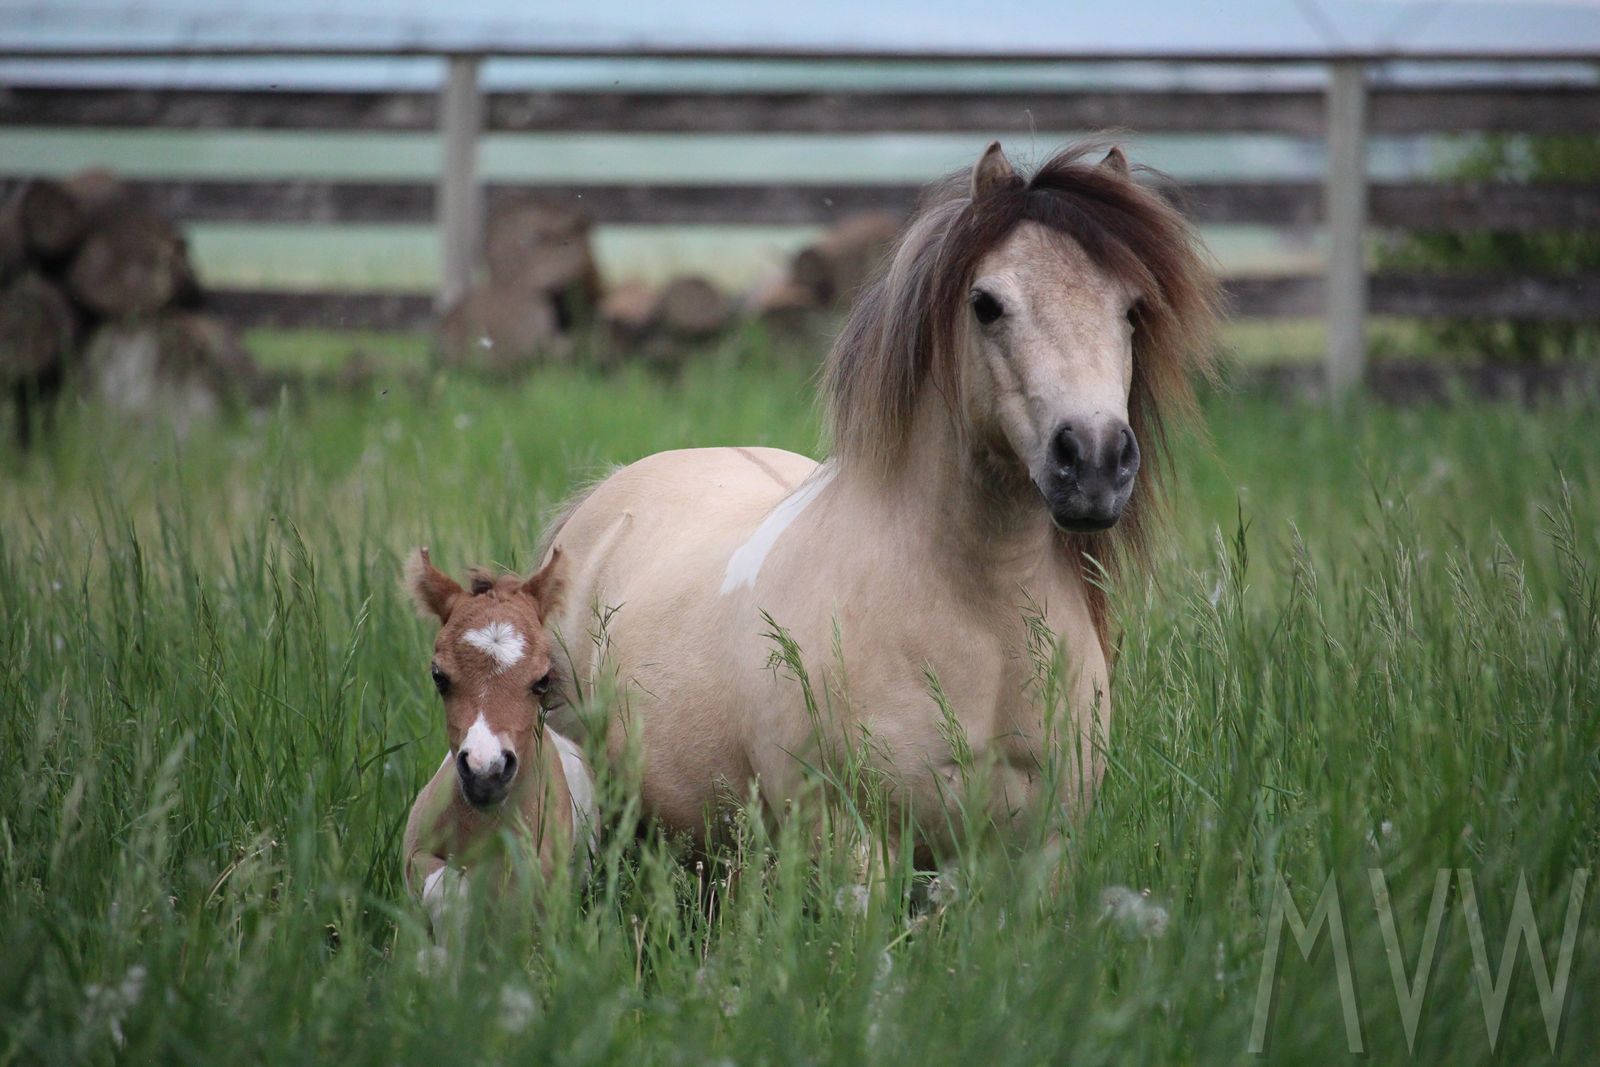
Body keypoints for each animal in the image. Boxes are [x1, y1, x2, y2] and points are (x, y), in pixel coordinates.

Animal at [401, 547, 597, 935]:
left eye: (543, 679)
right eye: (438, 676)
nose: (486, 772)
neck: (481, 825)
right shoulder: (415, 853)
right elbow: (445, 892)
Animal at [539, 140, 1219, 871]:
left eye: (1132, 309)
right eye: (986, 304)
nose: (1094, 461)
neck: (984, 624)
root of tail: (600, 504)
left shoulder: (1043, 850)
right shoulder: (855, 842)